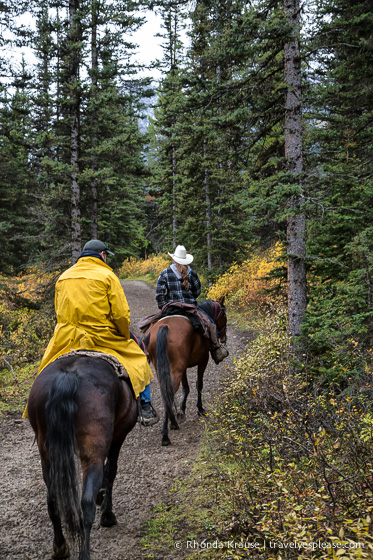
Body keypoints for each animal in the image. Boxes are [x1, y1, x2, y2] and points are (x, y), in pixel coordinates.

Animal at [26, 354, 137, 560]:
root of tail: (67, 376)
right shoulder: (120, 434)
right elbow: (111, 470)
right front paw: (107, 514)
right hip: (93, 452)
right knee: (86, 503)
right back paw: (84, 552)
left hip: (47, 455)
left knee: (53, 501)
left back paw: (60, 547)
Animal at [143, 298, 227, 446]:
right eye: (224, 316)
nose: (224, 338)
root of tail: (164, 327)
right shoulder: (203, 360)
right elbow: (199, 385)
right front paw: (200, 409)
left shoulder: (183, 368)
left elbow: (186, 388)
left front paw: (181, 410)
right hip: (178, 368)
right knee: (169, 392)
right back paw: (166, 434)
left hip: (166, 368)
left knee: (166, 392)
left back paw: (172, 423)